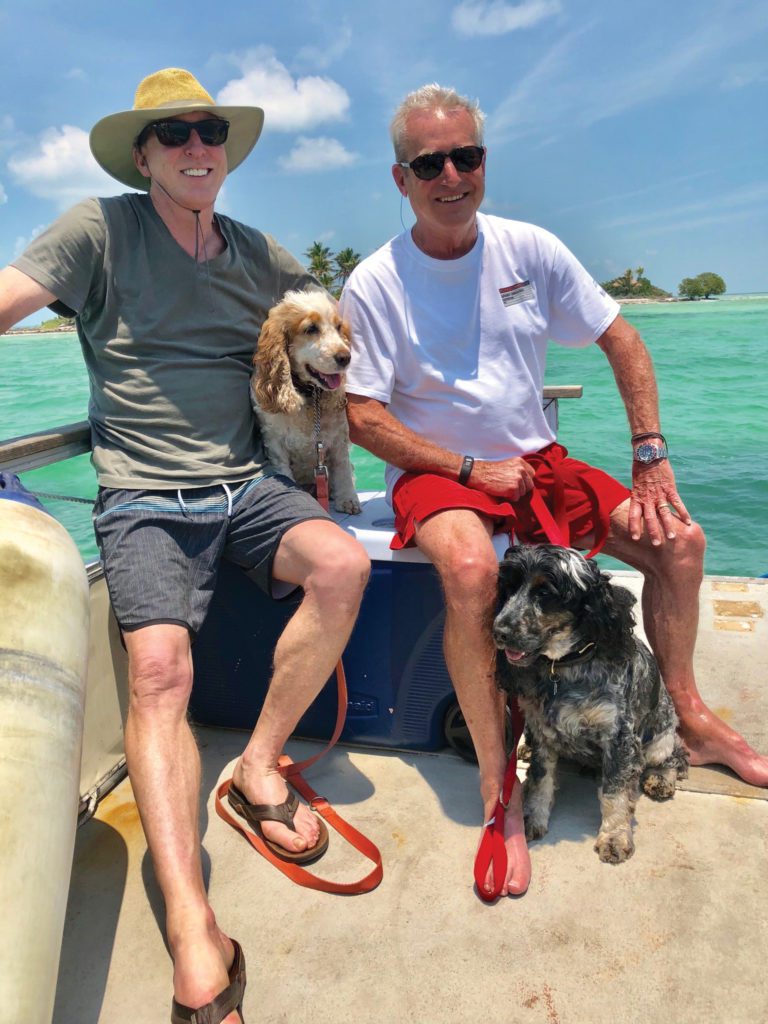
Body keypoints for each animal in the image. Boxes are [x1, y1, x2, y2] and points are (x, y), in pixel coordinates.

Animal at [493, 544, 692, 864]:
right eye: (509, 588)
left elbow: (615, 793)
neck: (565, 667)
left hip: (661, 735)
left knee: (674, 755)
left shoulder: (619, 737)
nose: (498, 631)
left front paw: (614, 838)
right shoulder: (543, 731)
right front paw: (531, 818)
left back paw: (661, 778)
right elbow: (541, 780)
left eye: (544, 592)